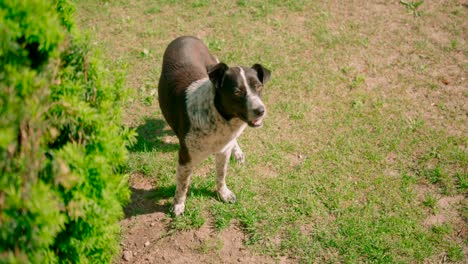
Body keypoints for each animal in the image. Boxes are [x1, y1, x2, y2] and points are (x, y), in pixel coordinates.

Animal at [159, 35, 270, 217]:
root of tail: (185, 37)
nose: (261, 111)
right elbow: (182, 185)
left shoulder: (223, 152)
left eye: (259, 87)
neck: (218, 119)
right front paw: (178, 205)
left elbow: (221, 175)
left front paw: (223, 194)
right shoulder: (185, 159)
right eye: (237, 92)